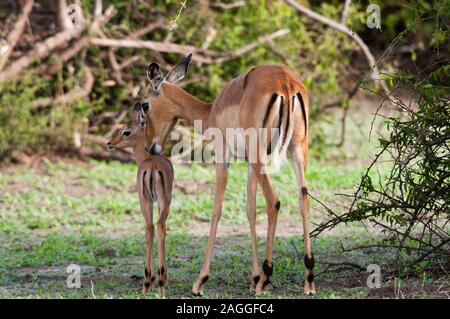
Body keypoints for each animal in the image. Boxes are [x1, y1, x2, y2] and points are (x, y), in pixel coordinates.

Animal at [107, 104, 174, 296]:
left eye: (126, 131)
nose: (109, 143)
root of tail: (152, 167)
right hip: (158, 202)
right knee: (157, 227)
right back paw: (157, 281)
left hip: (148, 201)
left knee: (151, 228)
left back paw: (150, 281)